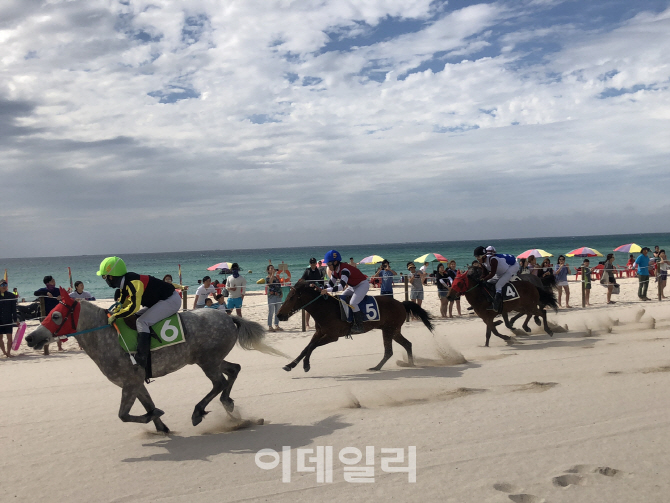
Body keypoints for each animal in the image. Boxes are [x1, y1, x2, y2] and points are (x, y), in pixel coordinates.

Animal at [25, 290, 272, 436]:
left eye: (56, 316)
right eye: (49, 312)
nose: (30, 338)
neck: (106, 336)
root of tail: (228, 317)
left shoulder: (129, 383)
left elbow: (124, 415)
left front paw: (155, 416)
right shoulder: (136, 383)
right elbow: (148, 405)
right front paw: (160, 425)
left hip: (208, 362)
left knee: (219, 383)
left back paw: (199, 411)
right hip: (209, 359)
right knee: (233, 370)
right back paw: (229, 405)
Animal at [276, 280, 436, 374]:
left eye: (291, 297)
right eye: (287, 296)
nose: (279, 315)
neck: (326, 308)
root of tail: (401, 303)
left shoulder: (332, 336)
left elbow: (311, 346)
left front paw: (306, 365)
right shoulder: (319, 333)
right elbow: (306, 347)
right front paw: (290, 365)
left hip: (389, 330)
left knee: (389, 351)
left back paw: (377, 367)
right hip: (393, 331)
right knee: (407, 344)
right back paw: (409, 363)